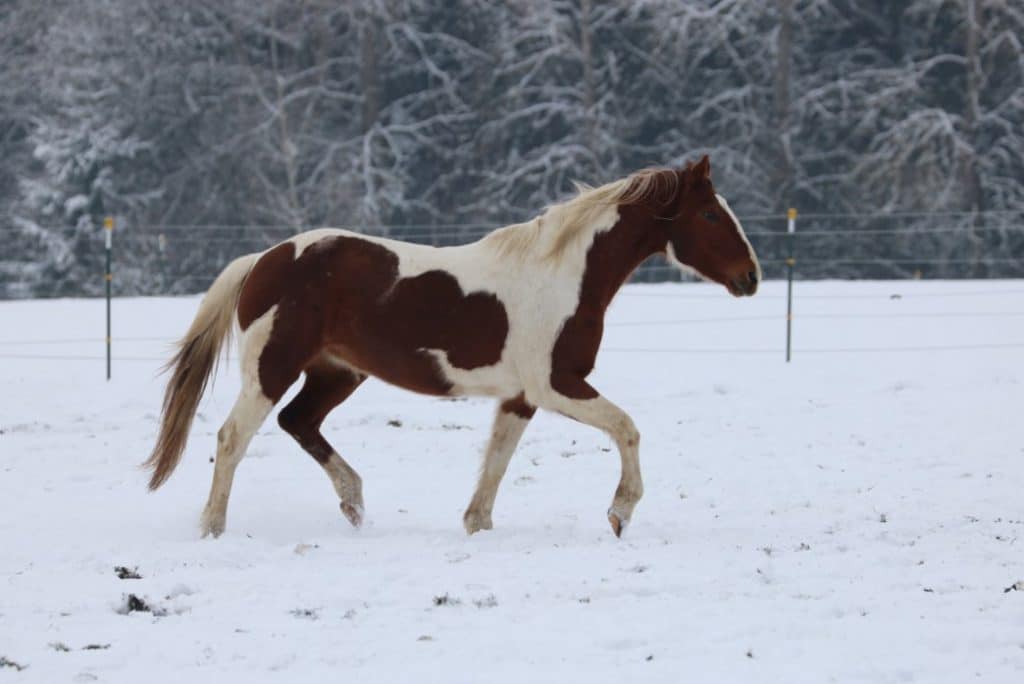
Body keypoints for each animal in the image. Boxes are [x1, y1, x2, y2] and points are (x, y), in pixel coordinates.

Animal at [144, 155, 760, 538]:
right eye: (710, 213)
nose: (750, 277)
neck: (563, 276)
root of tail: (264, 259)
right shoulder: (556, 385)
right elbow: (627, 428)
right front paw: (619, 512)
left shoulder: (521, 396)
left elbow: (497, 461)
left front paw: (477, 525)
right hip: (273, 368)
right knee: (232, 437)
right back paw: (214, 527)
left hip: (337, 372)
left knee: (298, 422)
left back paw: (354, 502)